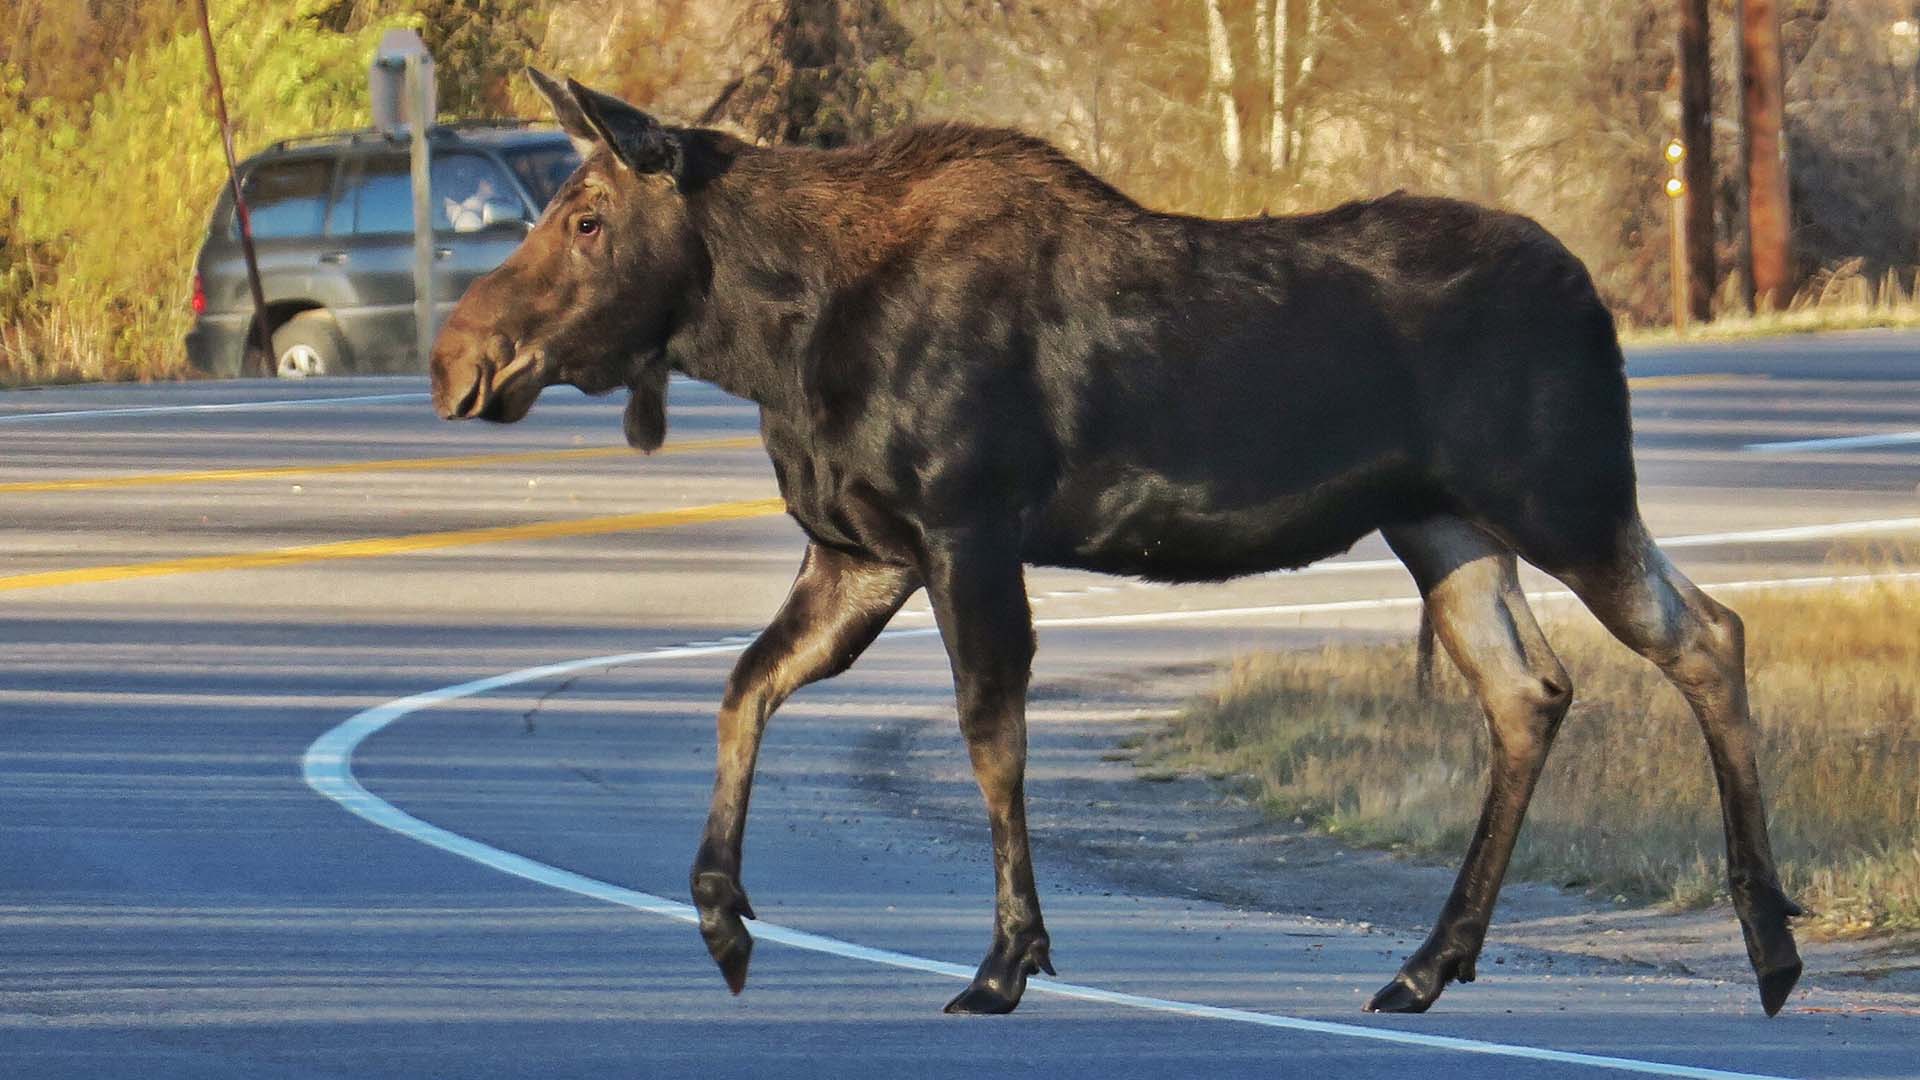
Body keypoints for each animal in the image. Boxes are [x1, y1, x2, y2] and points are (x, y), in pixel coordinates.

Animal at [428, 71, 1804, 1014]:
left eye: (589, 218)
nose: (456, 357)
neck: (774, 342)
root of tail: (1595, 297)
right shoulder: (861, 553)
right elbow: (743, 688)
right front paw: (722, 921)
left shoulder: (966, 529)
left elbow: (991, 735)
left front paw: (1007, 958)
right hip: (1442, 523)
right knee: (1532, 690)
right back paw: (1430, 961)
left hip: (1565, 495)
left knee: (1711, 635)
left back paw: (1771, 946)